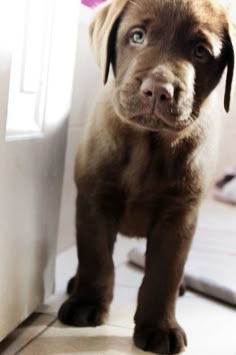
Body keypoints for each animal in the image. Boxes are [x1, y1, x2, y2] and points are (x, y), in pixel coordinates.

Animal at [58, 1, 235, 354]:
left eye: (200, 51)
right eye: (137, 36)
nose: (158, 91)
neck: (148, 143)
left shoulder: (179, 217)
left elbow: (163, 274)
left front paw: (159, 327)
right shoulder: (94, 200)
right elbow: (96, 258)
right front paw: (87, 303)